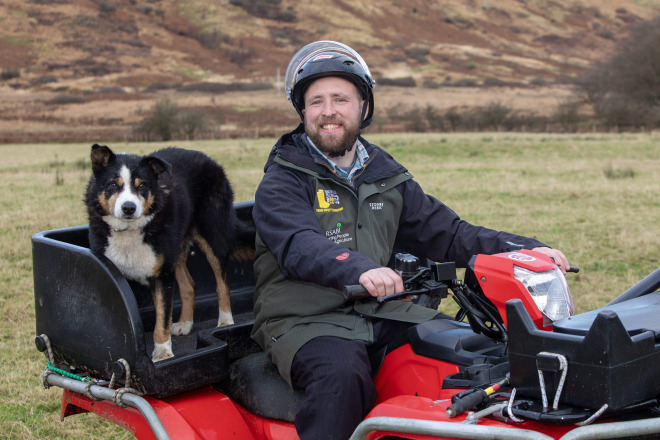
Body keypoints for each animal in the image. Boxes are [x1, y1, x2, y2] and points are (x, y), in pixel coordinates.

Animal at [85, 144, 255, 360]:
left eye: (142, 186)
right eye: (113, 185)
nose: (129, 208)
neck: (130, 231)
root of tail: (208, 159)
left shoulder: (162, 275)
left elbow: (162, 320)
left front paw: (163, 353)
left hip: (212, 235)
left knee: (222, 284)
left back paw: (225, 321)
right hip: (176, 249)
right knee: (189, 286)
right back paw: (185, 323)